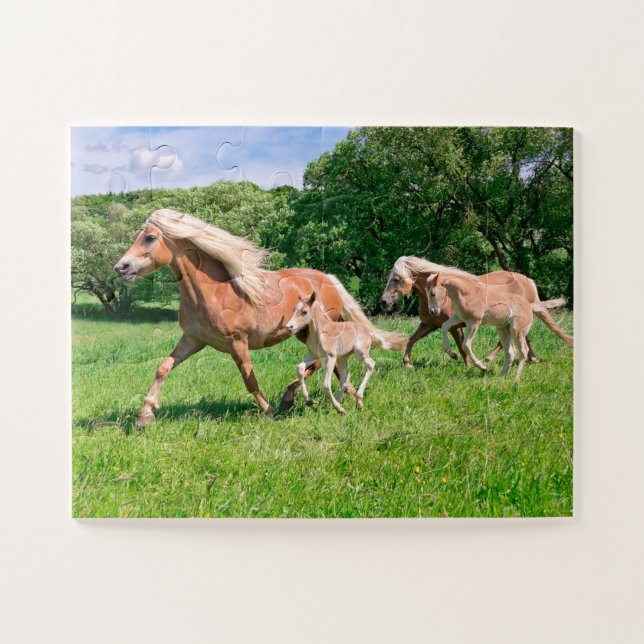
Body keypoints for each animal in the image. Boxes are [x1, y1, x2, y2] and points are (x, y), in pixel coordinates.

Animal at [114, 209, 404, 427]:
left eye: (150, 238)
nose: (120, 268)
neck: (215, 292)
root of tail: (328, 279)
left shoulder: (237, 342)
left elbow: (249, 380)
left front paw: (268, 411)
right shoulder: (193, 340)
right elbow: (162, 368)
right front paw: (145, 414)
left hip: (311, 330)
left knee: (321, 363)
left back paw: (293, 399)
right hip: (304, 332)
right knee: (329, 366)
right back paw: (347, 396)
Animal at [379, 256, 573, 369]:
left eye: (396, 279)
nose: (383, 302)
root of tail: (527, 281)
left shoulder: (456, 326)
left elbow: (461, 346)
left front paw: (466, 363)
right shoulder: (429, 324)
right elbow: (411, 340)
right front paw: (408, 363)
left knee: (509, 341)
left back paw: (489, 360)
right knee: (520, 338)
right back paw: (532, 359)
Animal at [425, 273, 567, 382]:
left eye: (432, 293)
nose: (432, 311)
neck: (465, 293)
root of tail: (530, 305)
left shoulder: (473, 323)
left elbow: (466, 345)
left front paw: (483, 367)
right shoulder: (458, 318)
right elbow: (444, 326)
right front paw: (453, 354)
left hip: (517, 331)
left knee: (523, 351)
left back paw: (515, 379)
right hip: (503, 330)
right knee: (510, 352)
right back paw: (501, 377)